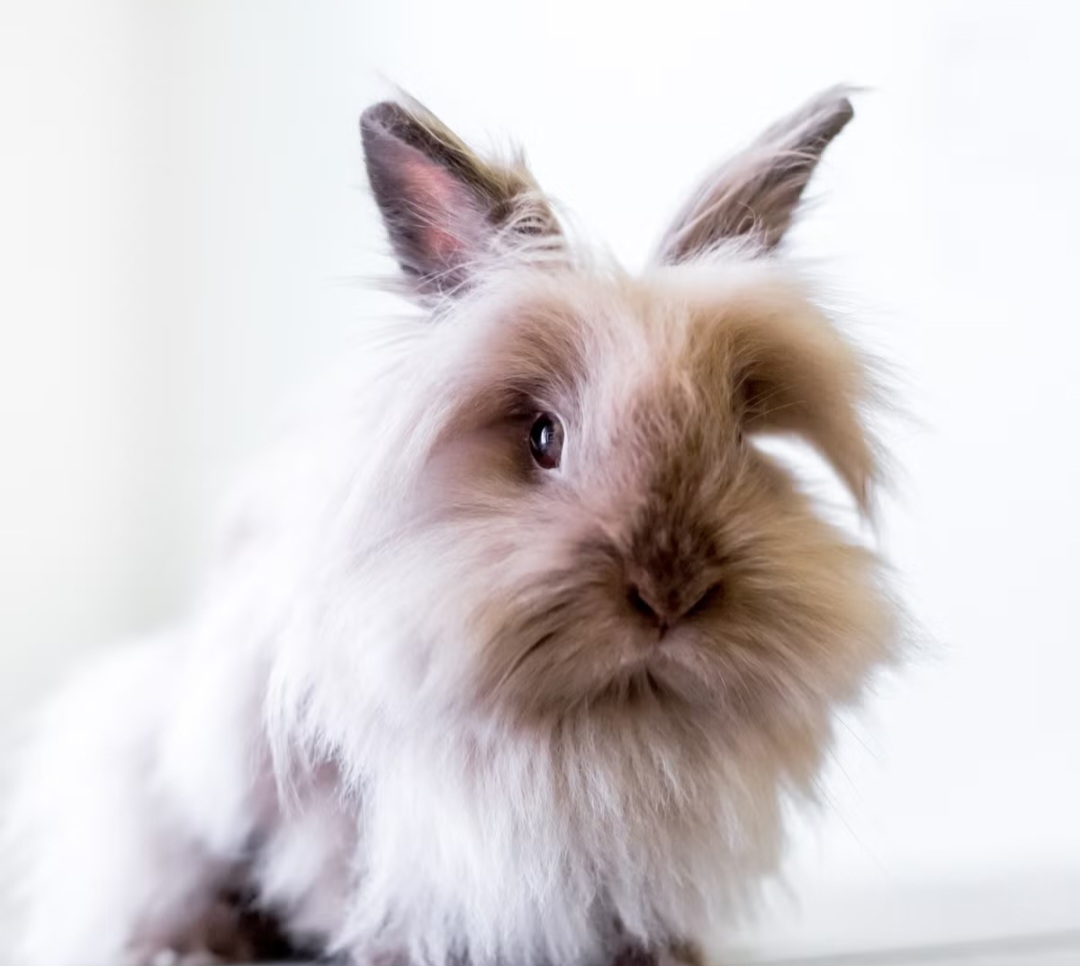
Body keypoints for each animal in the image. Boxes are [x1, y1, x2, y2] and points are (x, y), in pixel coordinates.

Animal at [2, 85, 898, 966]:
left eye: (741, 440)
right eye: (542, 438)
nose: (669, 590)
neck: (605, 727)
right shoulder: (340, 822)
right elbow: (365, 897)